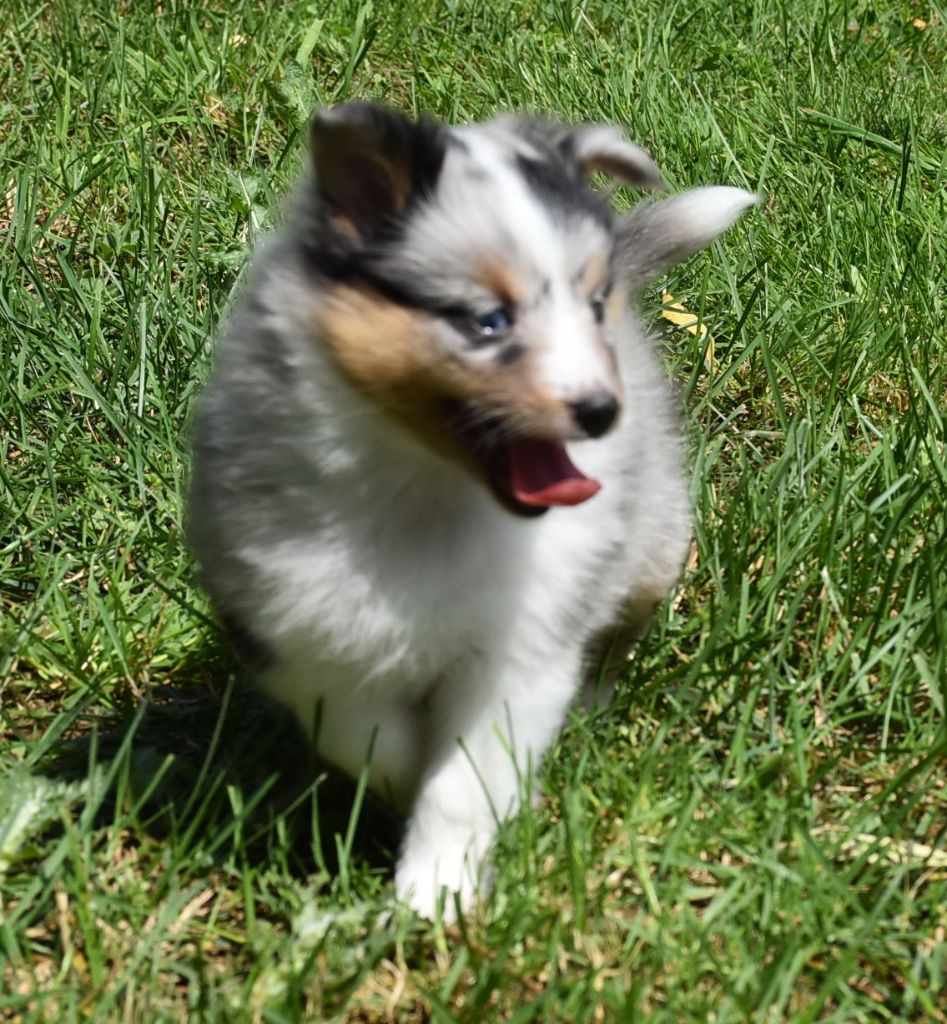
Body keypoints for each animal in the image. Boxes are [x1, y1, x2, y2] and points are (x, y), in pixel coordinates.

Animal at [188, 103, 757, 921]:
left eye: (593, 307)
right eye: (488, 320)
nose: (601, 412)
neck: (426, 496)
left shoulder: (520, 653)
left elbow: (462, 781)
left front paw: (434, 897)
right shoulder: (303, 634)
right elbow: (372, 740)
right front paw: (407, 808)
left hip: (651, 548)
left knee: (617, 637)